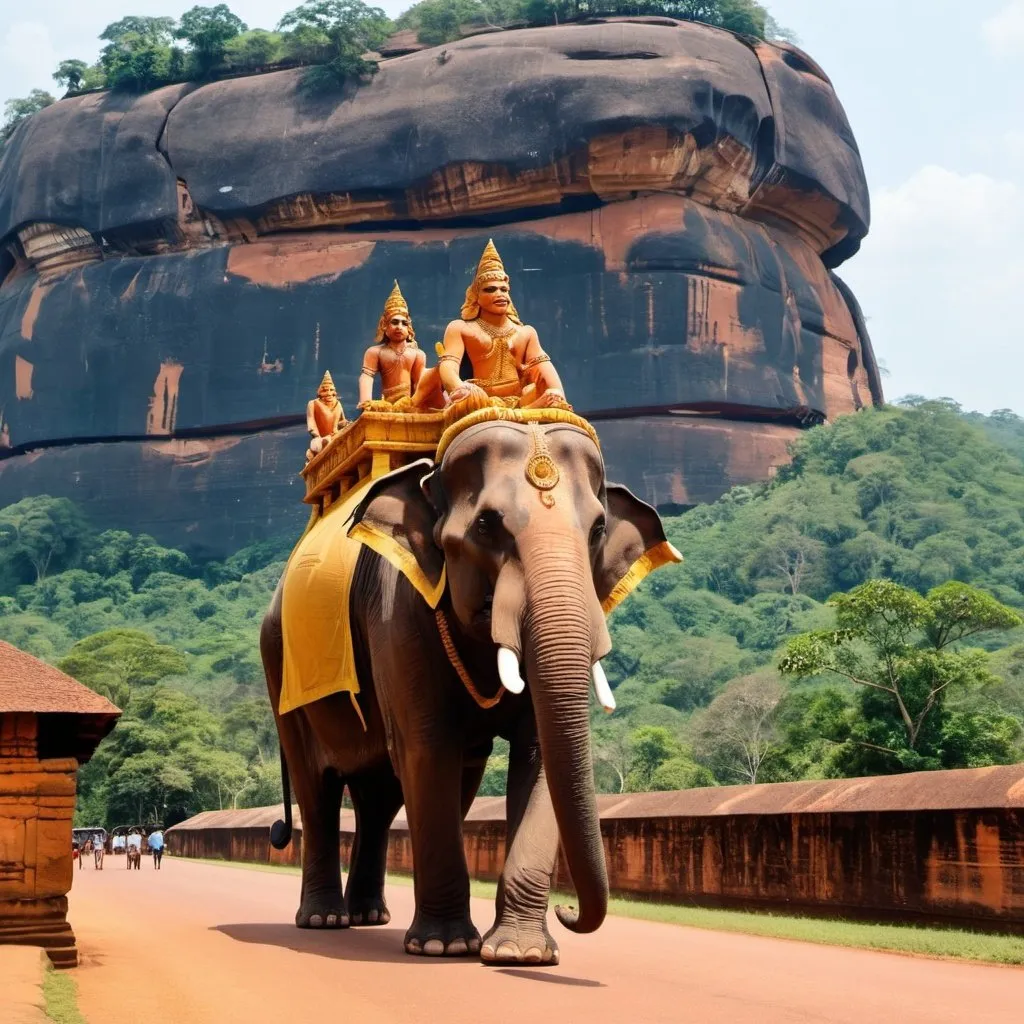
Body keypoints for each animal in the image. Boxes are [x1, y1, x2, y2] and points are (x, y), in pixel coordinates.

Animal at [260, 405, 679, 958]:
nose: (568, 911)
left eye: (597, 529)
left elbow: (537, 756)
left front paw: (522, 953)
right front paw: (444, 948)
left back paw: (369, 916)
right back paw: (325, 919)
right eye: (485, 525)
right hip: (280, 669)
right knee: (320, 788)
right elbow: (428, 747)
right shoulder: (398, 615)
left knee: (380, 796)